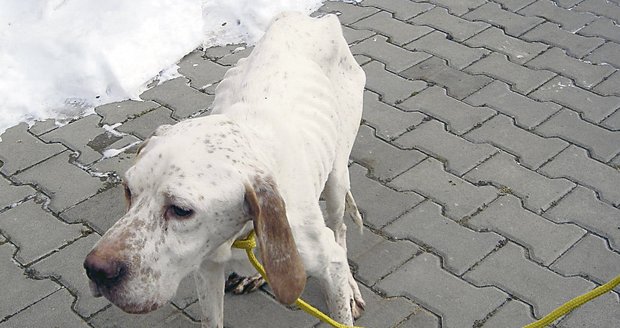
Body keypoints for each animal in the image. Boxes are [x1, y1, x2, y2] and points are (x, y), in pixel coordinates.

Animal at [82, 11, 364, 326]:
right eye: (128, 190)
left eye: (181, 210)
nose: (95, 269)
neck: (241, 234)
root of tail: (303, 17)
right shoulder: (206, 269)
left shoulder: (328, 262)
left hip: (337, 179)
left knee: (340, 228)